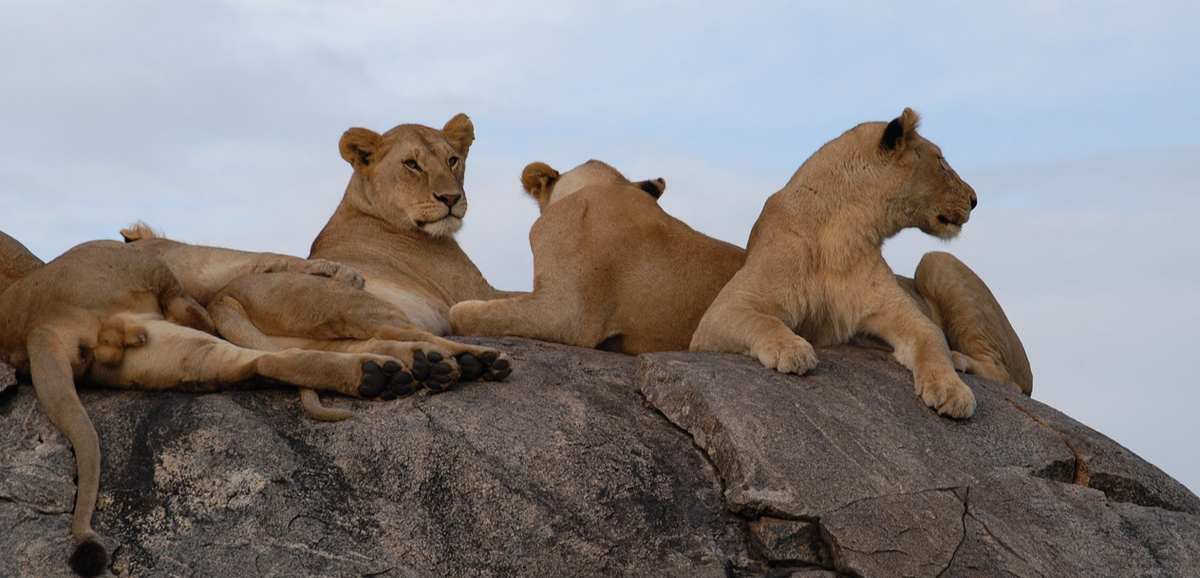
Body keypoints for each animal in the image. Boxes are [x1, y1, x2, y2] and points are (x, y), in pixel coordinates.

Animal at [0, 236, 415, 578]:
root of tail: (38, 326)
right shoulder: (191, 259)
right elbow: (261, 259)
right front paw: (338, 272)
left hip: (171, 354)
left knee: (264, 360)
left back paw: (379, 376)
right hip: (133, 266)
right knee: (205, 313)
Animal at [696, 108, 1032, 417]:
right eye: (939, 160)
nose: (974, 199)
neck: (842, 229)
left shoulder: (897, 311)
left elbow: (932, 339)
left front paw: (950, 388)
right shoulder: (721, 312)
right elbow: (763, 321)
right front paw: (791, 349)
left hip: (936, 261)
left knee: (1008, 379)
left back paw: (960, 359)